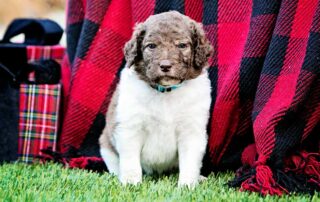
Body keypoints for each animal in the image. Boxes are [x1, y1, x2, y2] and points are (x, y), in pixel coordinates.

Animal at [99, 10, 211, 188]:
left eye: (182, 45)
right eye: (151, 46)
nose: (165, 66)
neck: (166, 92)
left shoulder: (192, 130)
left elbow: (190, 162)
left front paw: (187, 186)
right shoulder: (130, 128)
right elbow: (130, 161)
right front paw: (131, 183)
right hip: (105, 144)